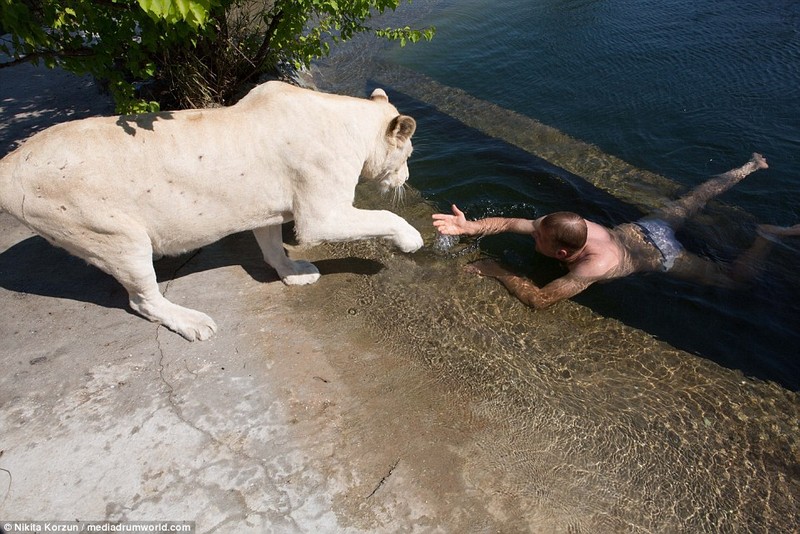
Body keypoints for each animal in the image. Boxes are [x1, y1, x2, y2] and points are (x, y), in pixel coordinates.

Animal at [0, 81, 422, 342]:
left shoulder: (265, 208)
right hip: (116, 235)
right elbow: (384, 218)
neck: (348, 122)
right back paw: (193, 322)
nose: (406, 177)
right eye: (409, 152)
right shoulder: (322, 216)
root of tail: (10, 161)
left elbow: (272, 248)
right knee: (143, 299)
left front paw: (293, 273)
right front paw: (412, 239)